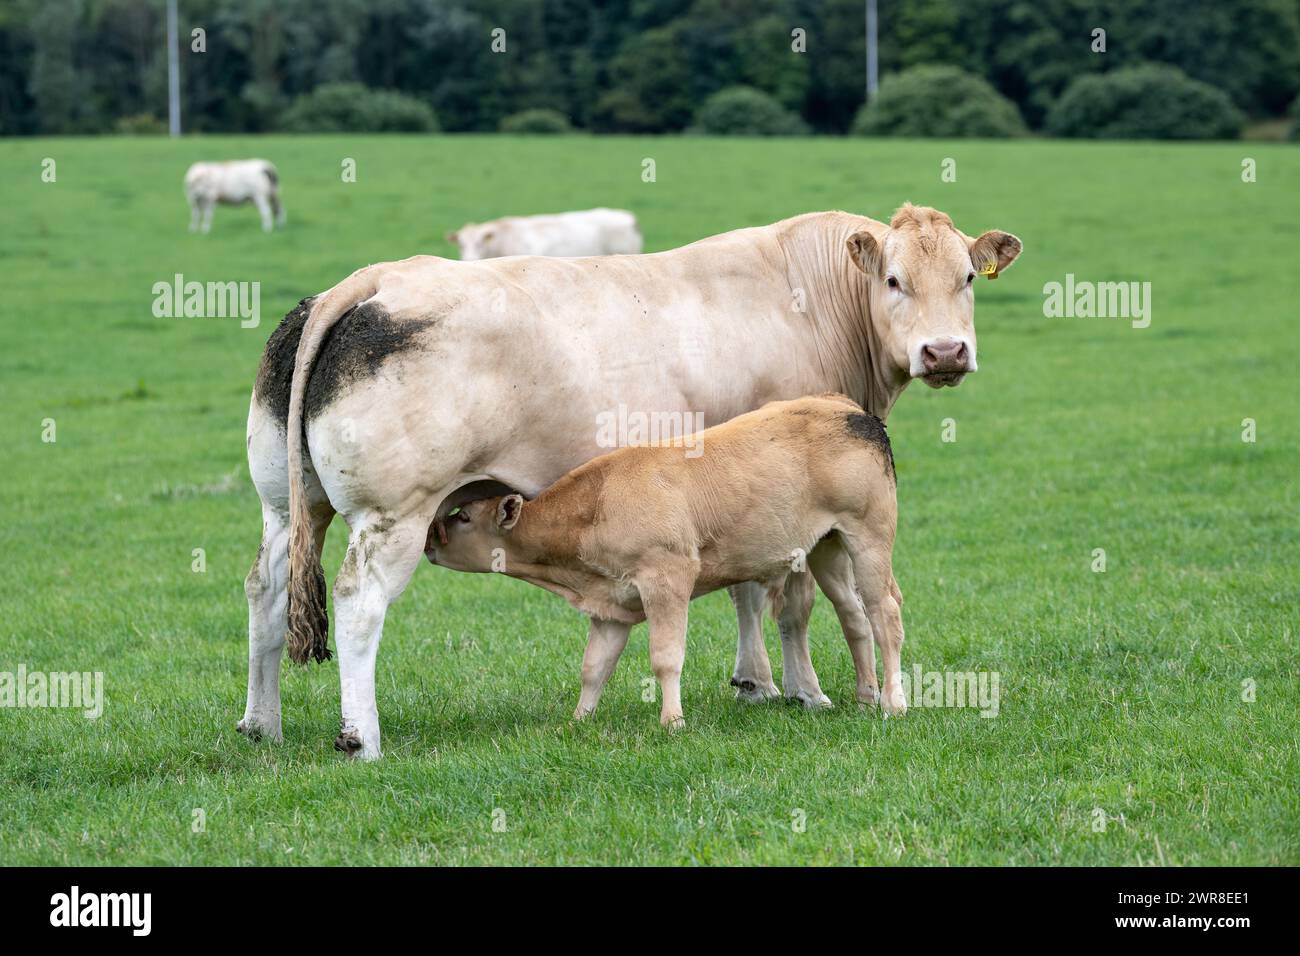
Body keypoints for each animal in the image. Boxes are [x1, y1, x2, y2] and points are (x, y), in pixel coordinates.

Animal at [427, 395, 908, 729]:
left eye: (464, 516)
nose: (430, 540)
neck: (596, 505)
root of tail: (848, 409)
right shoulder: (610, 606)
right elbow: (593, 668)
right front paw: (579, 720)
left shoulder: (667, 579)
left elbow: (665, 656)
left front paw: (672, 721)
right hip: (827, 546)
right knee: (854, 615)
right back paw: (866, 696)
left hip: (869, 536)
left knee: (884, 613)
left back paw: (892, 703)